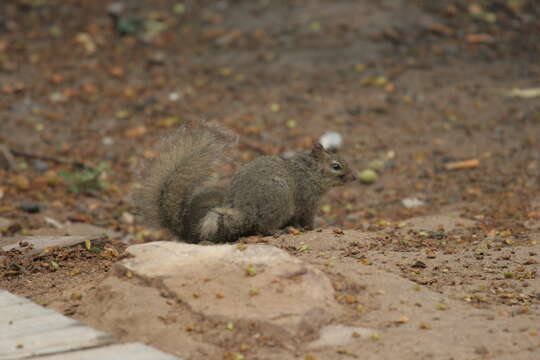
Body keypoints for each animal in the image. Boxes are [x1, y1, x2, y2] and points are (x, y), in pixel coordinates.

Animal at [134, 119, 354, 243]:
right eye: (336, 166)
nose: (353, 178)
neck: (310, 173)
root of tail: (245, 211)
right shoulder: (308, 201)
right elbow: (307, 219)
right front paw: (313, 228)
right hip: (280, 198)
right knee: (264, 227)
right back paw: (279, 230)